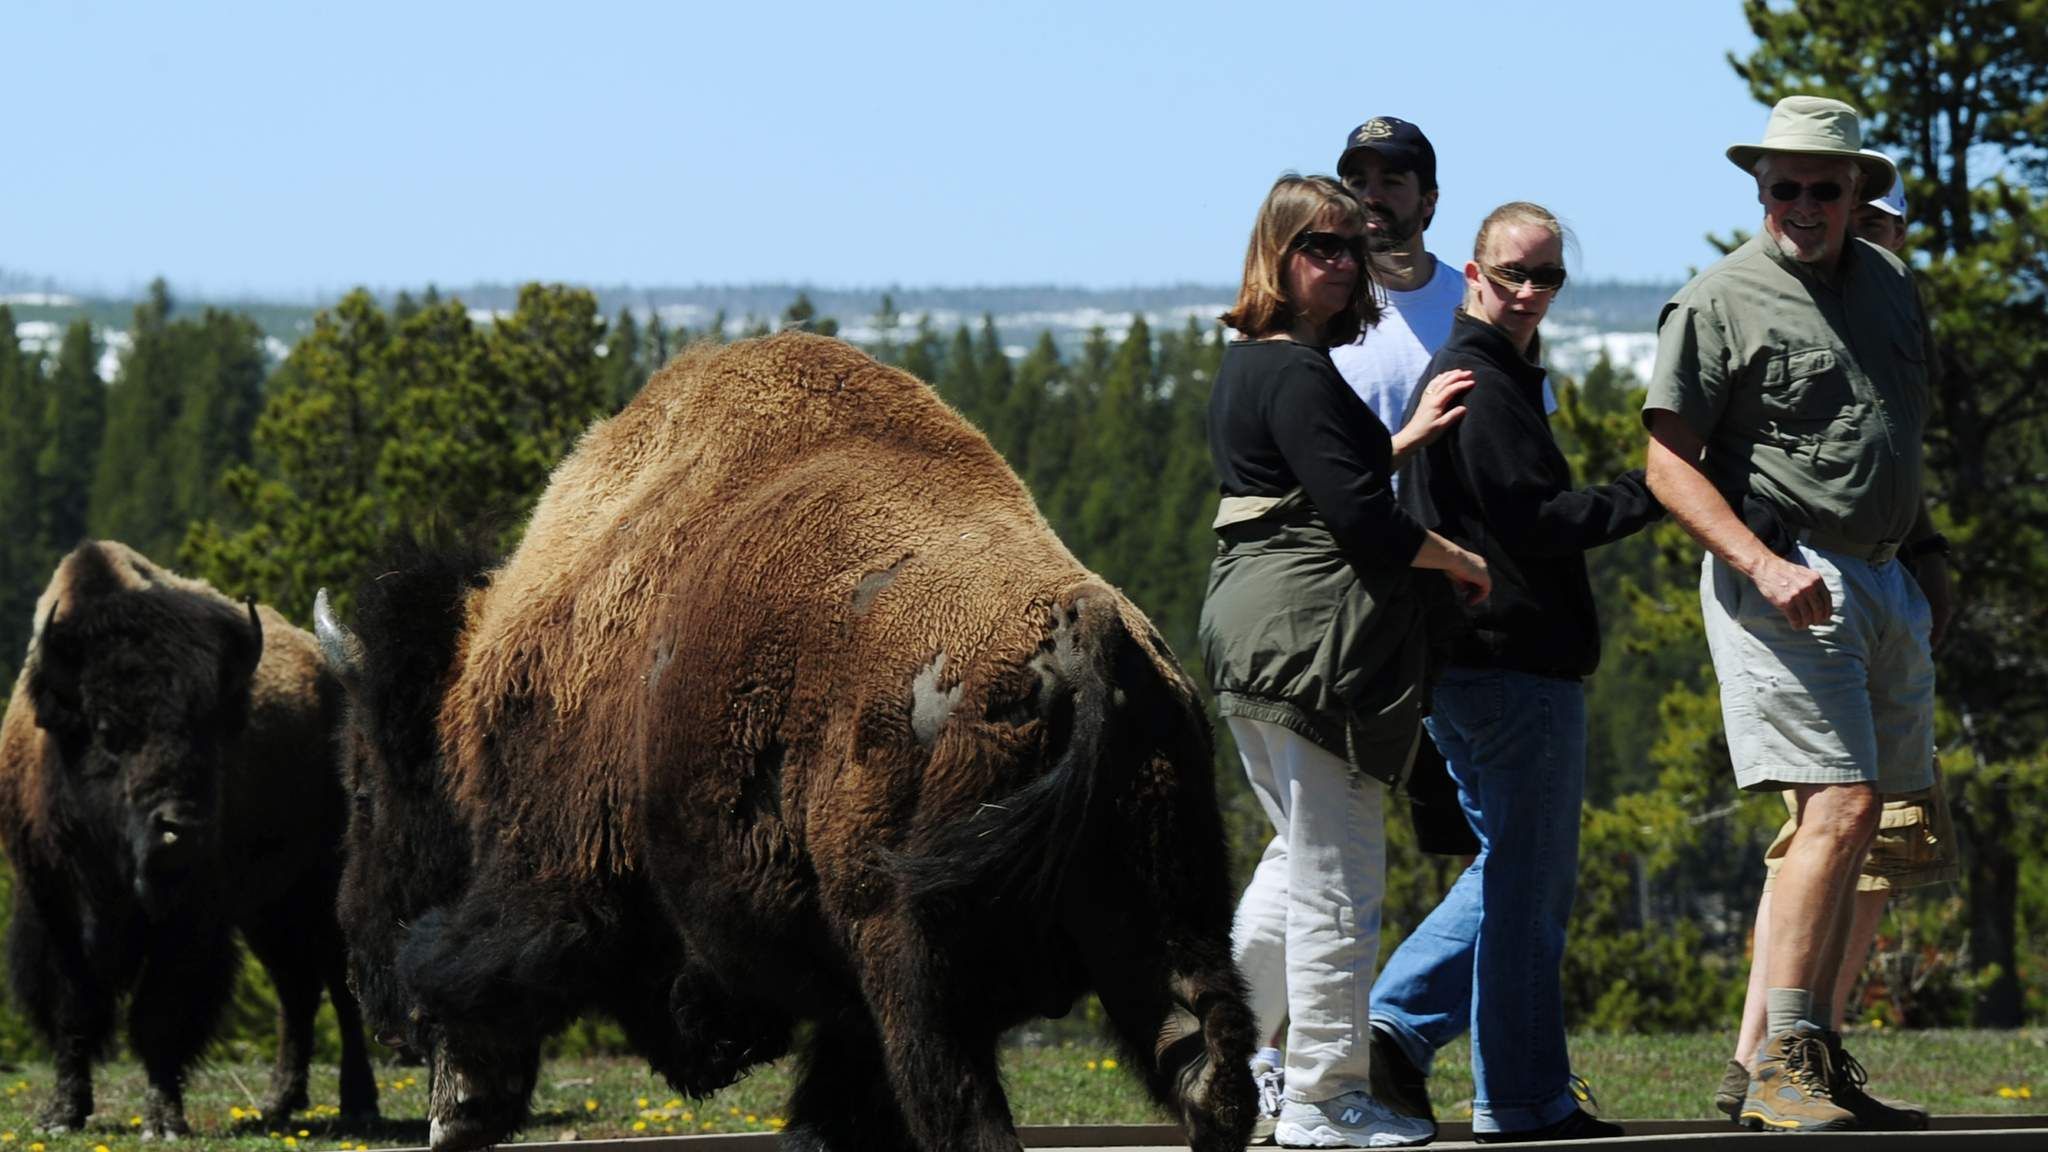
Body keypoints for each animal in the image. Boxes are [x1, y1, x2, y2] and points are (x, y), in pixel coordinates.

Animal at [1, 541, 380, 1131]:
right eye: (107, 731)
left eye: (212, 729)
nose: (182, 827)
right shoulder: (52, 906)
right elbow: (73, 1008)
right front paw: (61, 1113)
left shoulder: (191, 918)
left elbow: (162, 1013)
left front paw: (163, 1119)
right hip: (267, 910)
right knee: (296, 988)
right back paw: (278, 1104)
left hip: (320, 889)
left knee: (339, 988)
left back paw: (357, 1105)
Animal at [319, 330, 1253, 1147]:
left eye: (365, 789)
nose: (366, 976)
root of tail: (1080, 628)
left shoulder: (555, 868)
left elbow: (478, 970)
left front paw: (456, 1109)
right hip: (1168, 914)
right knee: (1208, 1075)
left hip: (915, 964)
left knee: (965, 1115)